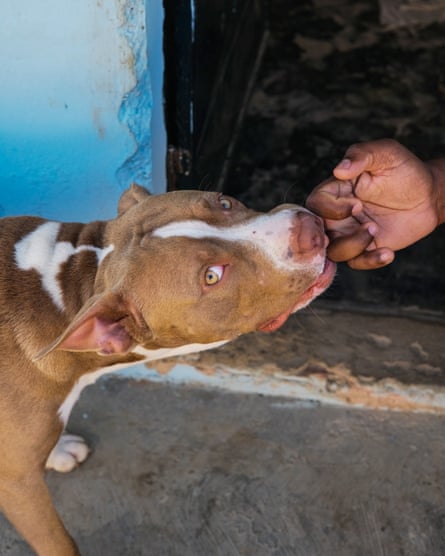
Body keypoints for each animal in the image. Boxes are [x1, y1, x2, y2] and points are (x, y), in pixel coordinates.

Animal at [0, 185, 332, 552]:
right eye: (212, 276)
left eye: (224, 202)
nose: (308, 228)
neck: (65, 296)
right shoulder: (17, 484)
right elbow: (59, 542)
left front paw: (57, 450)